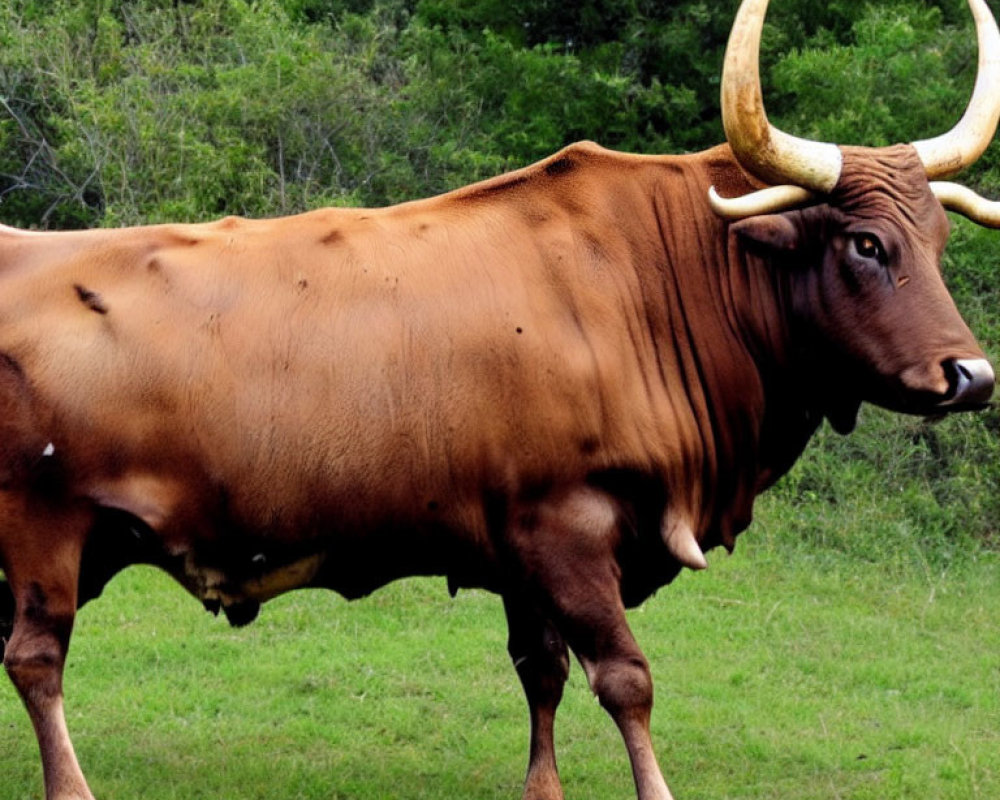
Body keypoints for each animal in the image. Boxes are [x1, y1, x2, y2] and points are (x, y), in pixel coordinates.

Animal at [1, 1, 1000, 800]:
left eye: (939, 239)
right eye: (866, 244)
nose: (972, 376)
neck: (651, 275)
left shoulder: (523, 540)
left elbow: (541, 672)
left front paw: (542, 787)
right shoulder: (569, 528)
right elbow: (626, 679)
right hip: (42, 526)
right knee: (36, 662)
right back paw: (72, 787)